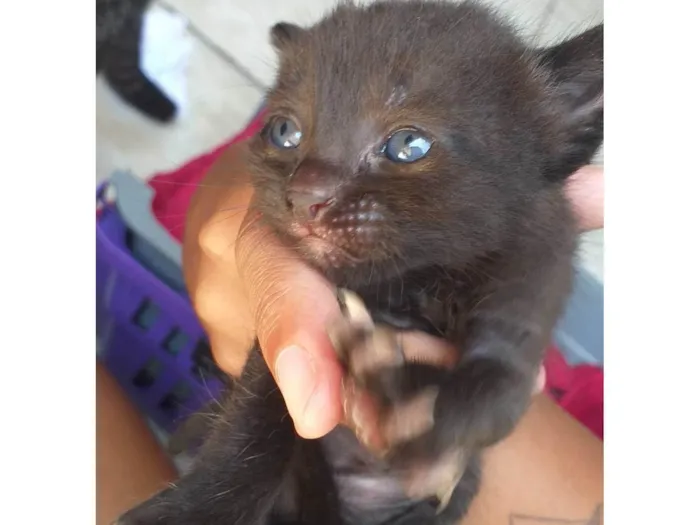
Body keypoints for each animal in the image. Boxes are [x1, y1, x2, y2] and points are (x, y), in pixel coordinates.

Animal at [115, 2, 600, 520]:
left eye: (408, 145)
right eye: (284, 132)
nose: (305, 196)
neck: (414, 285)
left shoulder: (535, 271)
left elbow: (498, 382)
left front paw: (402, 405)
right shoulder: (288, 354)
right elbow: (254, 424)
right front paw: (192, 510)